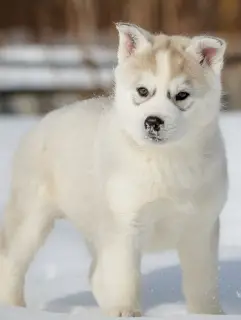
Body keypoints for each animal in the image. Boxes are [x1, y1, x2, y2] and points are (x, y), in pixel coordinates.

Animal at [0, 23, 228, 316]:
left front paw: (208, 315)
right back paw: (15, 308)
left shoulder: (201, 227)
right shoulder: (122, 226)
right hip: (30, 217)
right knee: (11, 262)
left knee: (96, 274)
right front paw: (124, 312)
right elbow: (124, 276)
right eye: (143, 91)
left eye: (181, 95)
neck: (165, 160)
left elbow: (203, 282)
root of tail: (43, 121)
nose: (153, 121)